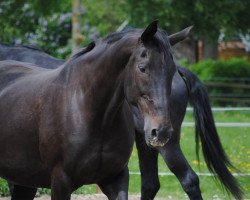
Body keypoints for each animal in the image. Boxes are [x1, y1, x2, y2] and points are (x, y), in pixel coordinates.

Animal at [0, 27, 242, 198]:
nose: (162, 130)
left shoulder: (114, 178)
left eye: (170, 70)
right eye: (142, 68)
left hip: (163, 144)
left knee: (188, 180)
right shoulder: (59, 181)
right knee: (154, 183)